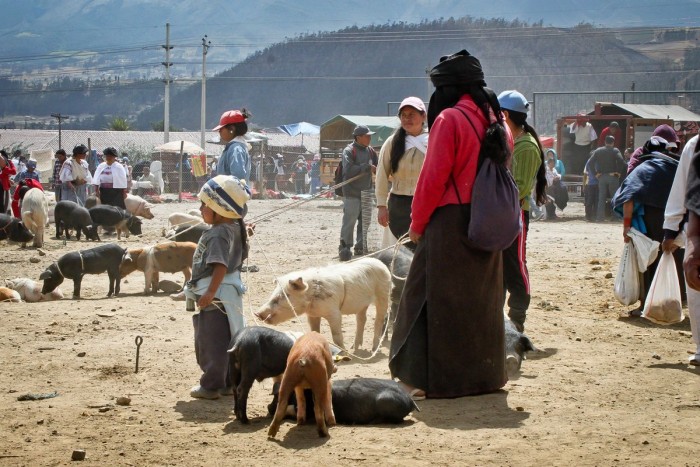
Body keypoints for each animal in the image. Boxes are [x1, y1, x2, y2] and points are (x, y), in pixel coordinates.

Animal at [256, 258, 392, 352]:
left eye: (280, 297)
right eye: (272, 295)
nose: (257, 313)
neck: (311, 297)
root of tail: (382, 264)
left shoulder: (334, 312)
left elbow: (336, 335)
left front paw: (344, 352)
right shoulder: (312, 315)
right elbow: (315, 331)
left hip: (384, 295)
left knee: (379, 320)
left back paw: (373, 349)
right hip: (362, 304)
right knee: (362, 319)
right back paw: (354, 347)